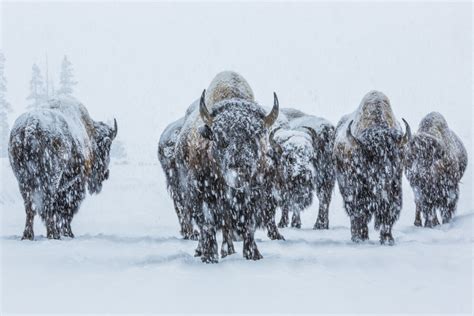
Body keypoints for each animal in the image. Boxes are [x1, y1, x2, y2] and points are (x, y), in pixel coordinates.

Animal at [8, 96, 117, 239]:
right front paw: (68, 233)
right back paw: (53, 234)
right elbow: (66, 209)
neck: (89, 134)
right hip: (51, 178)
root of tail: (30, 126)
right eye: (107, 147)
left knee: (29, 206)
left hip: (22, 180)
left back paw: (28, 235)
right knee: (48, 203)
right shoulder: (75, 183)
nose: (106, 174)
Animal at [334, 91, 412, 244]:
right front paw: (359, 238)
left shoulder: (394, 191)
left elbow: (388, 215)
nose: (385, 175)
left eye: (394, 155)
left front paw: (388, 240)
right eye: (369, 155)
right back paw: (359, 236)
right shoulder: (356, 192)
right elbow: (359, 214)